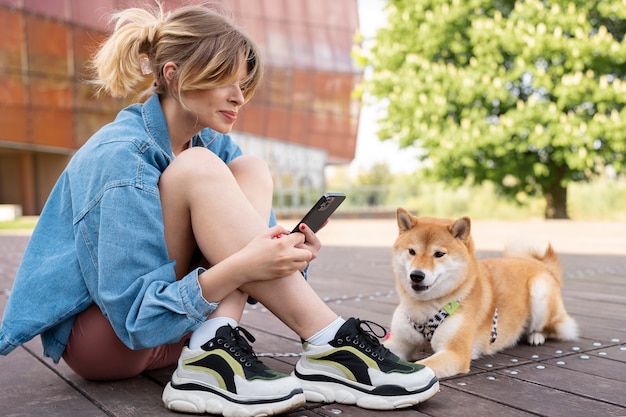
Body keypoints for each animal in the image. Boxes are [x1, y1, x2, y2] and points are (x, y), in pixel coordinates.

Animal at [382, 208, 576, 376]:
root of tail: (542, 266)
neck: (424, 308)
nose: (416, 275)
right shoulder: (399, 342)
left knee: (551, 327)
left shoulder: (455, 352)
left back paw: (536, 336)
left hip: (540, 292)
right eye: (411, 251)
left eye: (439, 254)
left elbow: (423, 366)